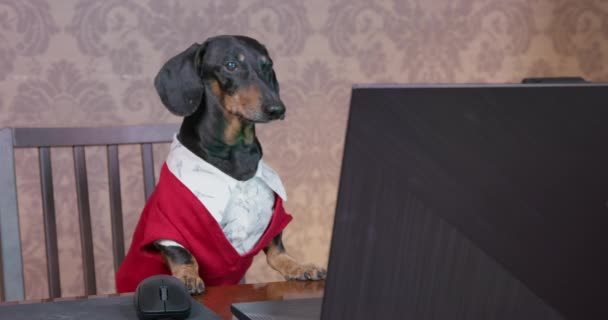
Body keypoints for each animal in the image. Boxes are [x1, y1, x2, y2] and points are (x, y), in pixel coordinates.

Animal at [112, 35, 326, 296]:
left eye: (267, 65)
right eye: (231, 65)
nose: (277, 109)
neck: (235, 154)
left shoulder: (271, 222)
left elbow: (278, 253)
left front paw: (299, 266)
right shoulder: (167, 222)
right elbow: (183, 254)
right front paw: (187, 277)